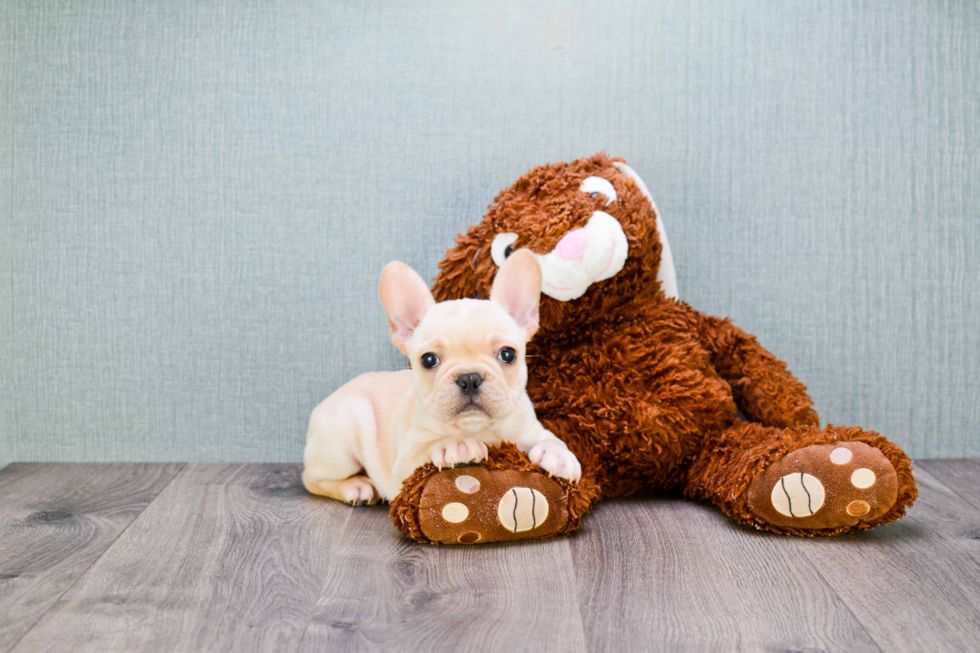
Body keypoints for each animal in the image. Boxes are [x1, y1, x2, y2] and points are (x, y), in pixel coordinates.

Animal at [304, 250, 580, 504]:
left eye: (508, 354)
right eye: (428, 360)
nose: (469, 378)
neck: (479, 428)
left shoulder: (529, 430)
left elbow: (551, 439)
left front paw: (561, 456)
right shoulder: (405, 463)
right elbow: (427, 447)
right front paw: (455, 445)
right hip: (342, 440)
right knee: (312, 479)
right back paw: (357, 487)